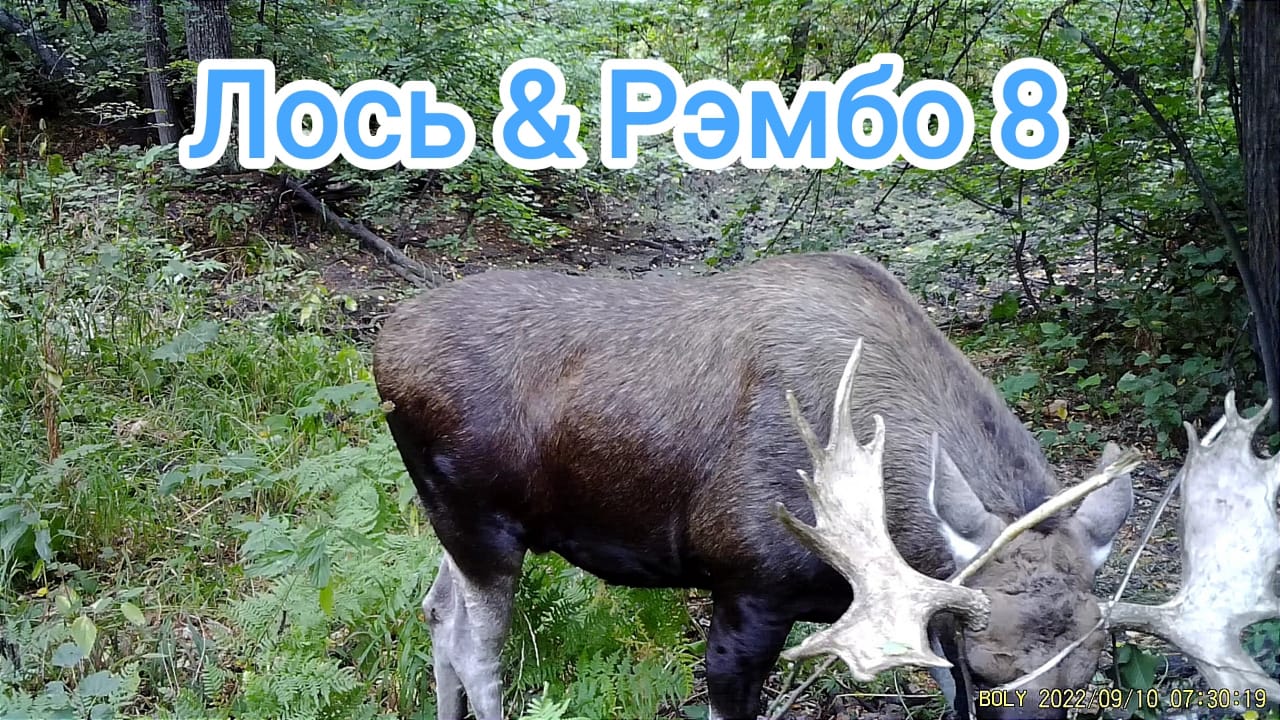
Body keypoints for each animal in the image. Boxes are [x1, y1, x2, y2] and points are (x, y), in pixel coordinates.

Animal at [372, 251, 1137, 720]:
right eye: (988, 673)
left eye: (1088, 678)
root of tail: (382, 345)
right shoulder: (748, 592)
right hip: (479, 526)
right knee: (475, 647)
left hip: (461, 528)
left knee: (436, 611)